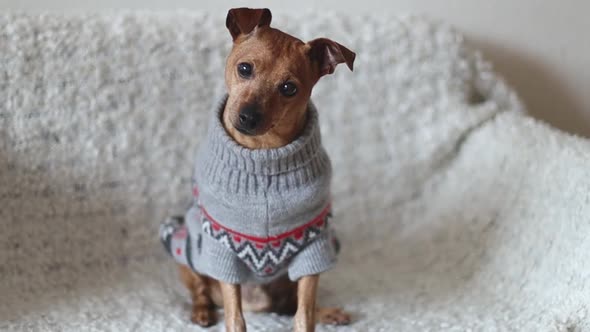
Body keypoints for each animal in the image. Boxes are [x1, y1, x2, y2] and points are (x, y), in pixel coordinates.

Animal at [160, 7, 356, 332]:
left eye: (289, 88)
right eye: (244, 68)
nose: (248, 117)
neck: (264, 154)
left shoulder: (313, 247)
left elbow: (304, 312)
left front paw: (313, 316)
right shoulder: (223, 251)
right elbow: (235, 315)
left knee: (292, 305)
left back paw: (328, 312)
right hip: (186, 249)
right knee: (201, 290)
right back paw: (201, 312)